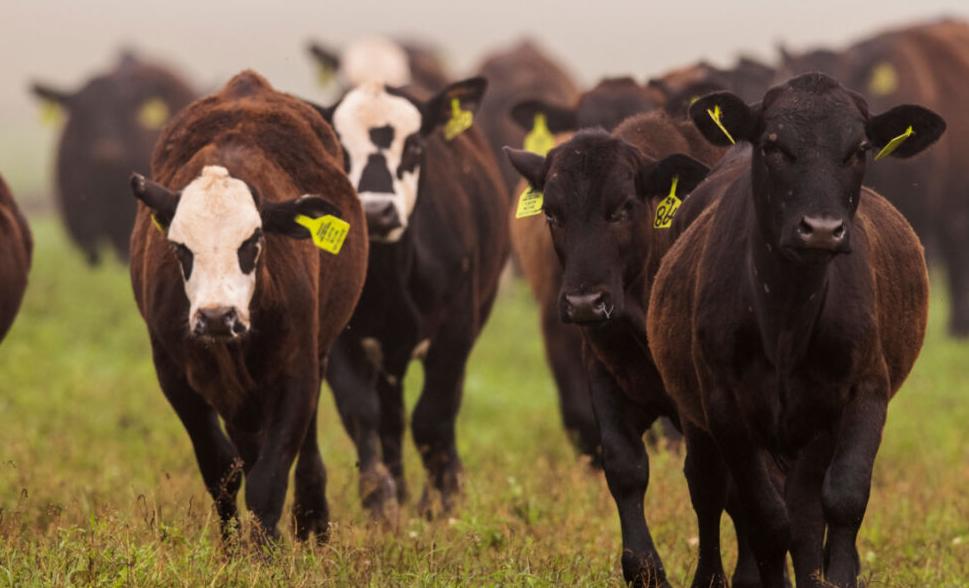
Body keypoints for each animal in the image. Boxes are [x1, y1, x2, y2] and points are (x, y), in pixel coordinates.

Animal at [128, 71, 368, 542]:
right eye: (180, 248)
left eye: (253, 241)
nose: (216, 316)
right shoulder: (175, 378)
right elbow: (222, 470)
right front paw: (232, 548)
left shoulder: (297, 373)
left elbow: (268, 480)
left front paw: (266, 548)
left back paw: (312, 521)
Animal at [308, 77, 511, 520]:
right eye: (338, 147)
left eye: (415, 146)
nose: (376, 211)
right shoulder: (343, 338)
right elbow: (362, 413)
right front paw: (380, 499)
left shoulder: (454, 333)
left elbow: (433, 417)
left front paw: (443, 501)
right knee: (390, 419)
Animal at [505, 110, 735, 587]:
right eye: (552, 212)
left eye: (623, 207)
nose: (584, 302)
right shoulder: (605, 379)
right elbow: (625, 467)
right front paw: (644, 569)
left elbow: (708, 482)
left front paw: (711, 577)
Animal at [647, 73, 943, 587]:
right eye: (773, 145)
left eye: (859, 148)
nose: (821, 230)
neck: (787, 321)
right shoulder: (725, 406)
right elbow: (764, 516)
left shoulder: (864, 390)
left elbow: (840, 500)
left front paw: (836, 577)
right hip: (695, 413)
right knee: (708, 489)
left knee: (804, 511)